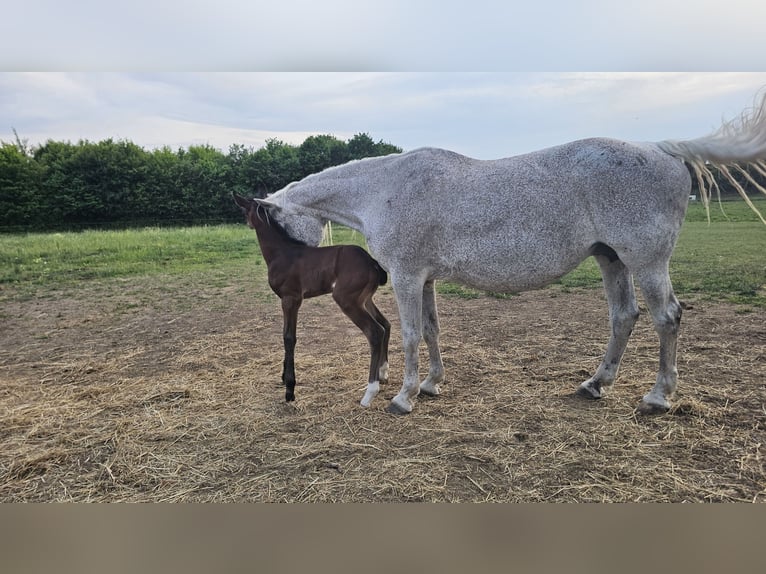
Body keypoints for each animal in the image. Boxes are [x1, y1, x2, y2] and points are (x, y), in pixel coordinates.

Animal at [233, 194, 391, 406]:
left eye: (244, 211)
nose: (246, 223)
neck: (282, 253)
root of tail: (372, 262)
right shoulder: (287, 300)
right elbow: (284, 334)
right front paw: (283, 379)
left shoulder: (291, 299)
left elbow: (289, 337)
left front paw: (290, 389)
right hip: (365, 299)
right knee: (385, 324)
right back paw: (383, 373)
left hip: (347, 300)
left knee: (375, 331)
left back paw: (370, 392)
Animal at [256, 92, 766, 415]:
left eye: (277, 230)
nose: (289, 277)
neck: (385, 189)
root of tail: (660, 148)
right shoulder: (425, 278)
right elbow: (433, 330)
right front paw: (432, 384)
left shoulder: (405, 276)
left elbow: (410, 335)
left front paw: (403, 397)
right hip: (612, 259)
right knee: (624, 316)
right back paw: (595, 385)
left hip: (646, 261)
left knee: (667, 317)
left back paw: (658, 397)